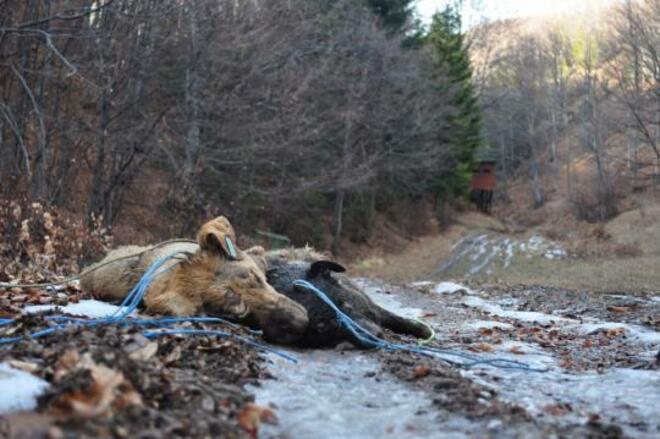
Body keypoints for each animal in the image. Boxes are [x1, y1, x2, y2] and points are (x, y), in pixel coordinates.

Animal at [262, 258, 434, 348]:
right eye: (322, 326)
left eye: (344, 303)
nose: (375, 336)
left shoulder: (372, 306)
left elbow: (398, 319)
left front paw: (424, 331)